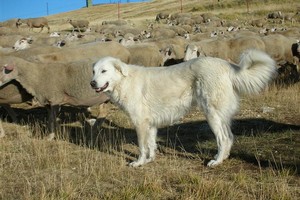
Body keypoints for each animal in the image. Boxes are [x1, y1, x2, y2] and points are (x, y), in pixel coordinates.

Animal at [89, 48, 276, 167]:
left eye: (104, 71)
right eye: (94, 71)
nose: (92, 83)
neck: (124, 81)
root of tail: (227, 65)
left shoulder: (140, 123)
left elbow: (142, 147)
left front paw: (139, 163)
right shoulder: (150, 124)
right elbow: (151, 145)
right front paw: (150, 160)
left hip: (212, 114)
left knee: (223, 138)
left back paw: (216, 162)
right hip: (220, 116)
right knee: (229, 137)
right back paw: (221, 158)